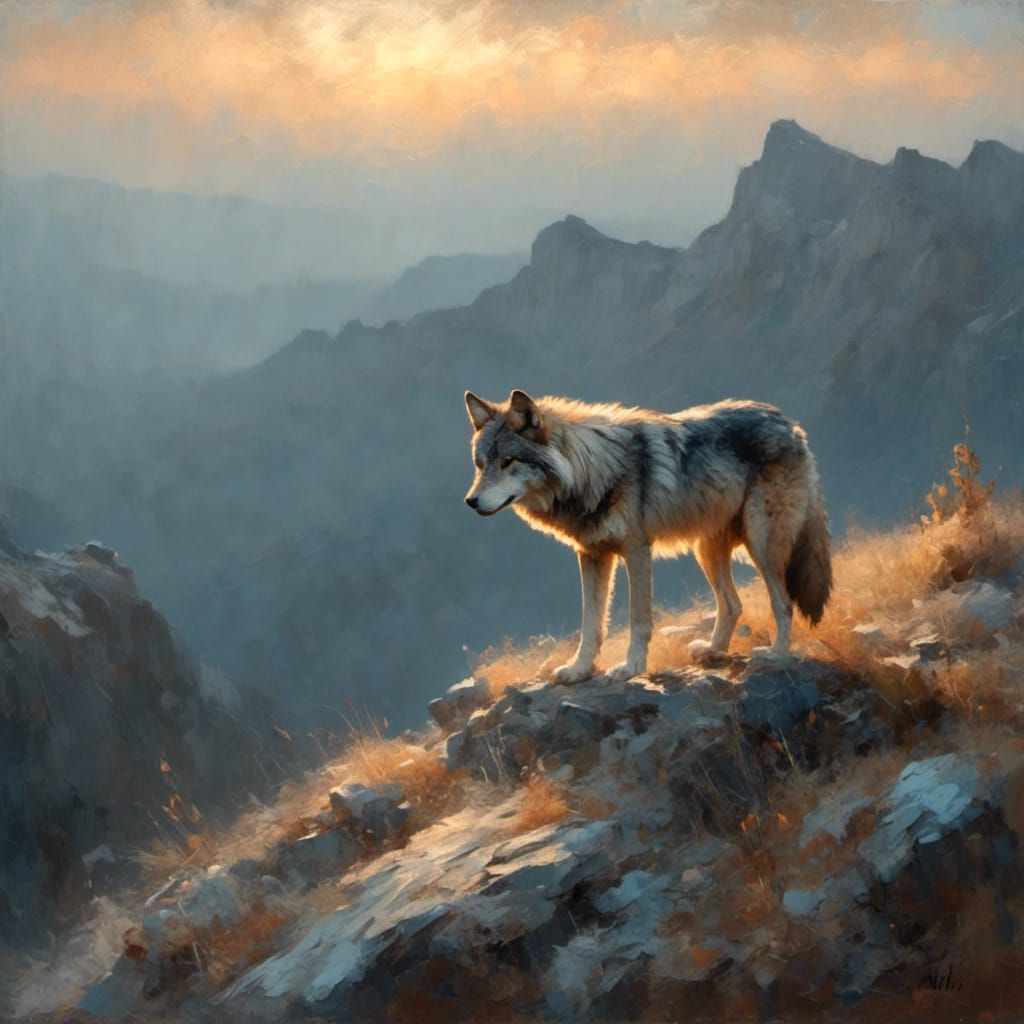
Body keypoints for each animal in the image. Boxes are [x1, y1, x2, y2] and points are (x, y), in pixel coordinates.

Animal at [464, 390, 832, 683]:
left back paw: (776, 654)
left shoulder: (637, 550)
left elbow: (637, 619)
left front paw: (632, 668)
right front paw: (579, 670)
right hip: (706, 550)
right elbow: (591, 624)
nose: (471, 501)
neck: (594, 473)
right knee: (732, 604)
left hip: (761, 543)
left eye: (508, 461)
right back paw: (713, 651)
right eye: (480, 465)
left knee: (783, 602)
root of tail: (789, 423)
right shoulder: (592, 555)